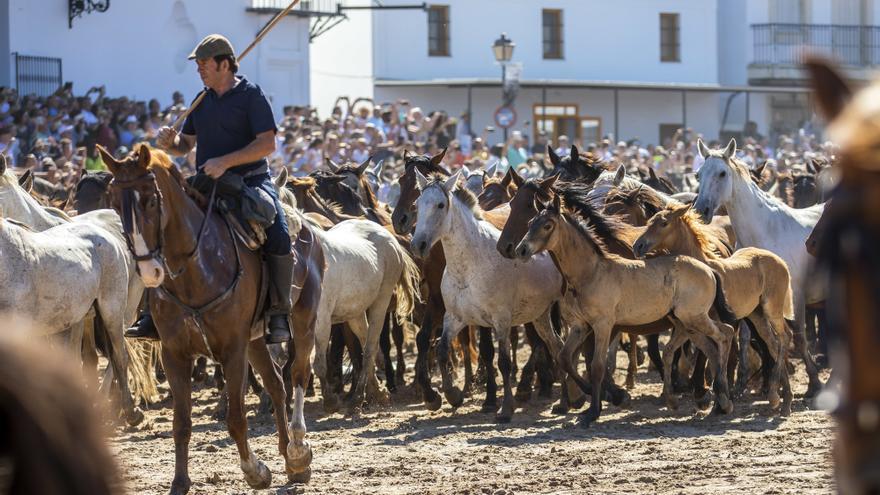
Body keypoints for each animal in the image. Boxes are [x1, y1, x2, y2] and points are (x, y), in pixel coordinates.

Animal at [100, 145, 310, 494]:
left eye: (151, 200)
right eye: (114, 202)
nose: (149, 271)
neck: (198, 269)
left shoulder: (232, 350)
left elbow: (236, 418)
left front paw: (255, 471)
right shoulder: (174, 354)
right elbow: (182, 423)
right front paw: (180, 482)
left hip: (304, 324)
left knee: (296, 376)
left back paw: (297, 454)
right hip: (255, 341)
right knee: (276, 386)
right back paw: (286, 452)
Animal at [274, 176, 422, 412]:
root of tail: (389, 237)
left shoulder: (321, 321)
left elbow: (318, 362)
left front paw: (330, 400)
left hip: (380, 303)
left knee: (370, 347)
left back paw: (359, 396)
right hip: (355, 312)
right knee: (366, 343)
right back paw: (376, 392)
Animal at [410, 170, 564, 422]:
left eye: (440, 205)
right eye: (417, 204)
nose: (418, 244)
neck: (469, 265)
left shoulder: (501, 320)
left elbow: (503, 361)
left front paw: (505, 408)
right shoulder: (454, 317)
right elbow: (441, 349)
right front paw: (449, 395)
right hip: (539, 313)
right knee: (554, 344)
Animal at [696, 138, 824, 398]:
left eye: (722, 173)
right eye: (698, 174)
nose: (701, 210)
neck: (766, 230)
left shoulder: (795, 296)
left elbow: (799, 337)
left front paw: (813, 382)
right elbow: (747, 337)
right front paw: (742, 382)